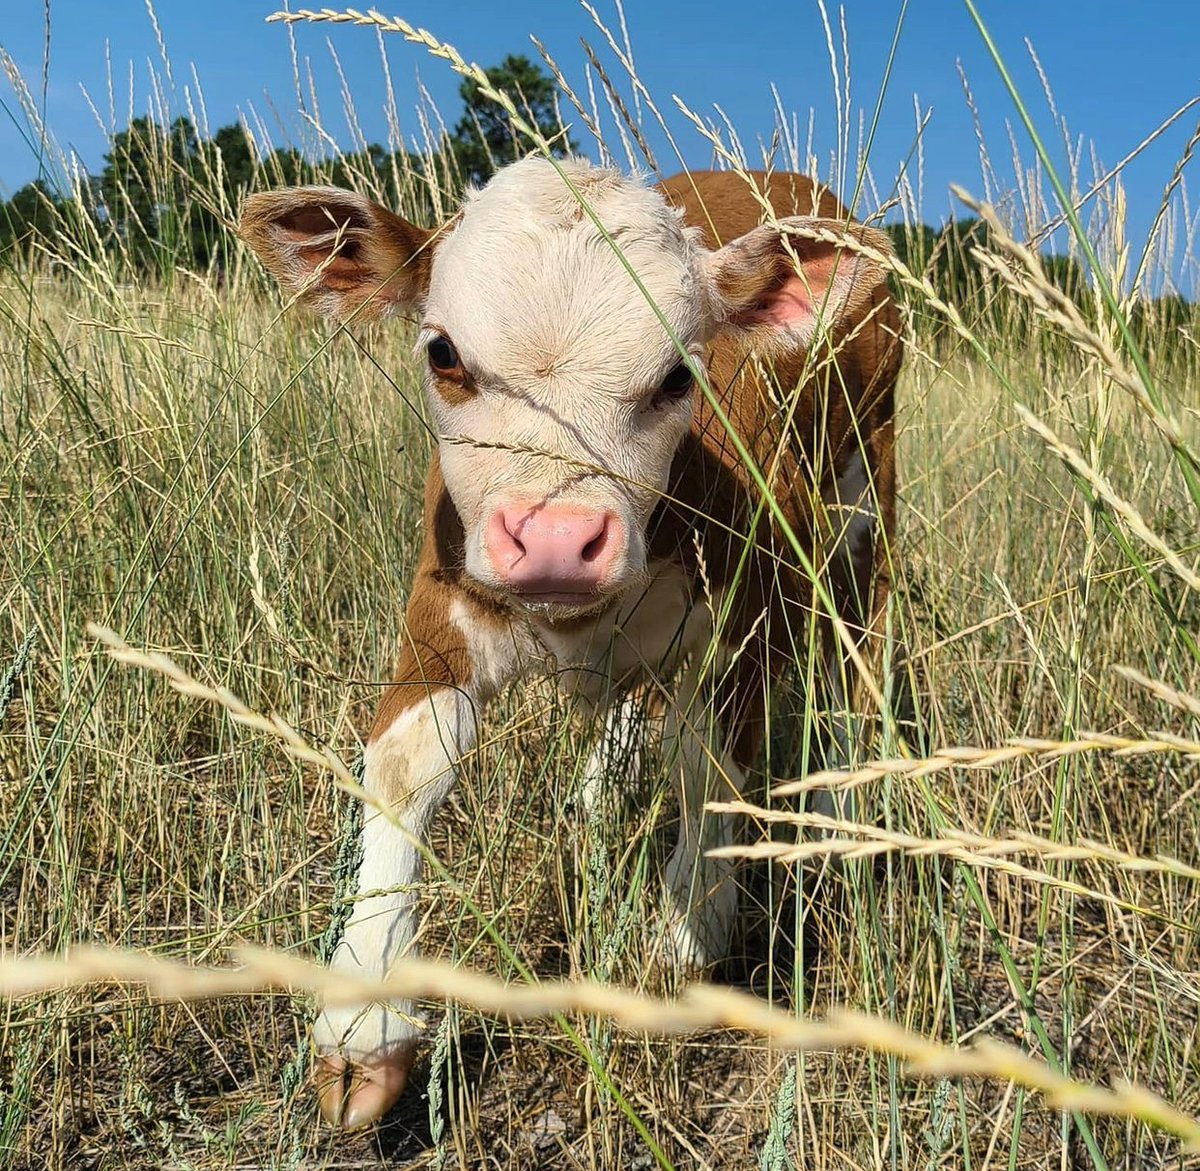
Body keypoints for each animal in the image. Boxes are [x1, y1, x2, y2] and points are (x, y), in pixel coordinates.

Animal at [240, 158, 902, 1130]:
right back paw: (599, 784)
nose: (555, 539)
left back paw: (849, 796)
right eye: (443, 353)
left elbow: (708, 762)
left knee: (861, 647)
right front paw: (364, 1016)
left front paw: (689, 931)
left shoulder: (750, 612)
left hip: (869, 489)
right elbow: (407, 764)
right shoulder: (441, 591)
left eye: (679, 375)